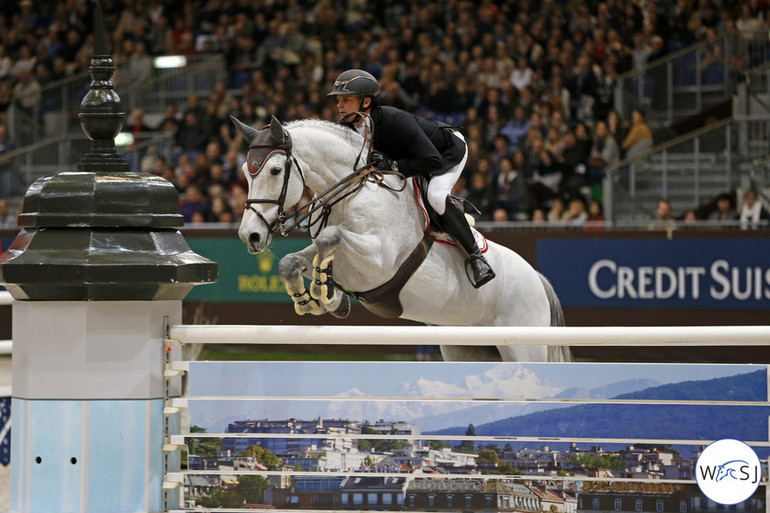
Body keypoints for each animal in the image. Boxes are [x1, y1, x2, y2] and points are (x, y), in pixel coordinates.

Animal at [231, 116, 568, 362]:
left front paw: (323, 289)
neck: (351, 193)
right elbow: (291, 261)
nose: (250, 236)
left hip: (522, 346)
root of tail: (539, 280)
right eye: (246, 173)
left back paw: (480, 267)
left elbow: (331, 236)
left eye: (275, 170)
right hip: (467, 347)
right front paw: (315, 299)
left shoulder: (378, 260)